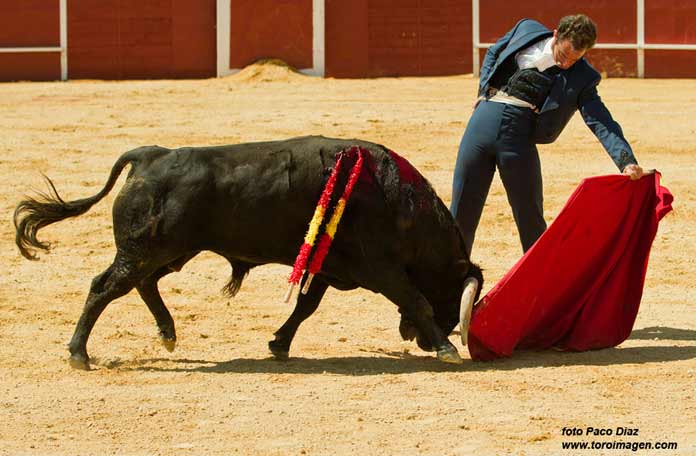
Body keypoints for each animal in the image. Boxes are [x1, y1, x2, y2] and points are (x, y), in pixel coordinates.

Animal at [16, 136, 484, 370]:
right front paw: (447, 349)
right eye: (453, 298)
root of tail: (150, 156)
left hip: (169, 252)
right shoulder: (381, 269)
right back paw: (79, 354)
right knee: (105, 287)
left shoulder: (327, 266)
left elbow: (305, 307)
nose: (420, 342)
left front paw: (279, 344)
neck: (396, 200)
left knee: (143, 284)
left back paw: (167, 334)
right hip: (145, 250)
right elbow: (417, 300)